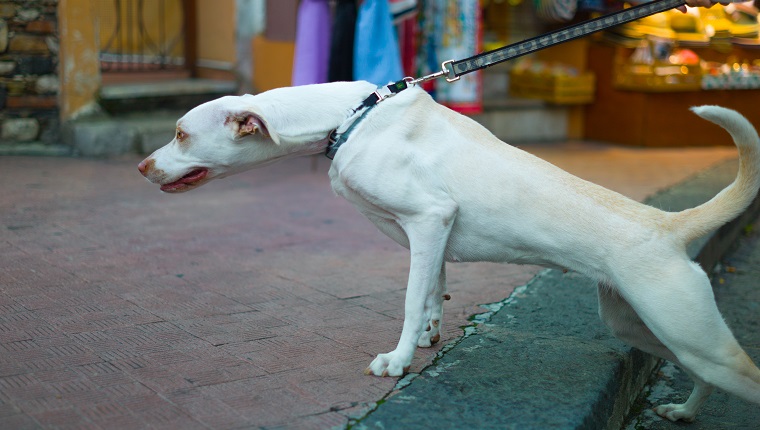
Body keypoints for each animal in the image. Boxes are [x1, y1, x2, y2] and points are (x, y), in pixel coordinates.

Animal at [138, 80, 760, 420]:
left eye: (181, 133)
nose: (141, 167)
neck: (350, 117)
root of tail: (668, 225)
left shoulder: (428, 218)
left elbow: (412, 300)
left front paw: (398, 361)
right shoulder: (431, 235)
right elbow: (433, 290)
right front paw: (431, 335)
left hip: (691, 332)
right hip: (645, 326)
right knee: (692, 371)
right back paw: (683, 412)